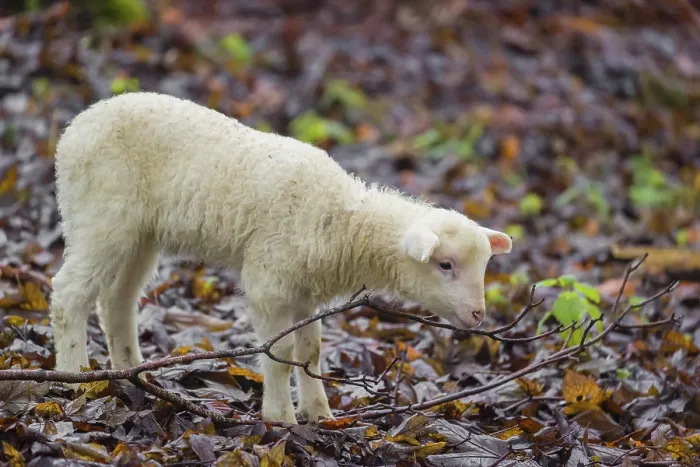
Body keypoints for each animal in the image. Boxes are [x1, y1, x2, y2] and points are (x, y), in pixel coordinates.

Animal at [49, 91, 513, 424]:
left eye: (483, 266)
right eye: (445, 265)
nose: (478, 315)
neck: (341, 220)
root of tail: (73, 129)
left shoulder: (305, 290)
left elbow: (310, 351)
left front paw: (320, 414)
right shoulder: (269, 281)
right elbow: (282, 354)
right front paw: (281, 418)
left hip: (140, 234)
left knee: (117, 300)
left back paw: (134, 376)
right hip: (101, 214)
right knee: (68, 294)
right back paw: (75, 378)